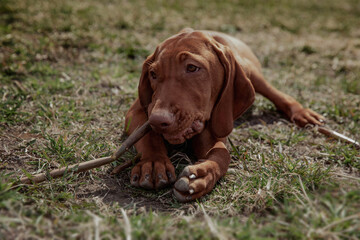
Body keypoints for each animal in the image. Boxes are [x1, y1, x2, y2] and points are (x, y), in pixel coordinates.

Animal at [124, 28, 324, 202]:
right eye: (153, 74)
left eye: (192, 68)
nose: (158, 120)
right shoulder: (137, 112)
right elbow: (148, 136)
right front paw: (153, 162)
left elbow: (223, 154)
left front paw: (202, 175)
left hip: (251, 72)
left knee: (277, 93)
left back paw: (303, 113)